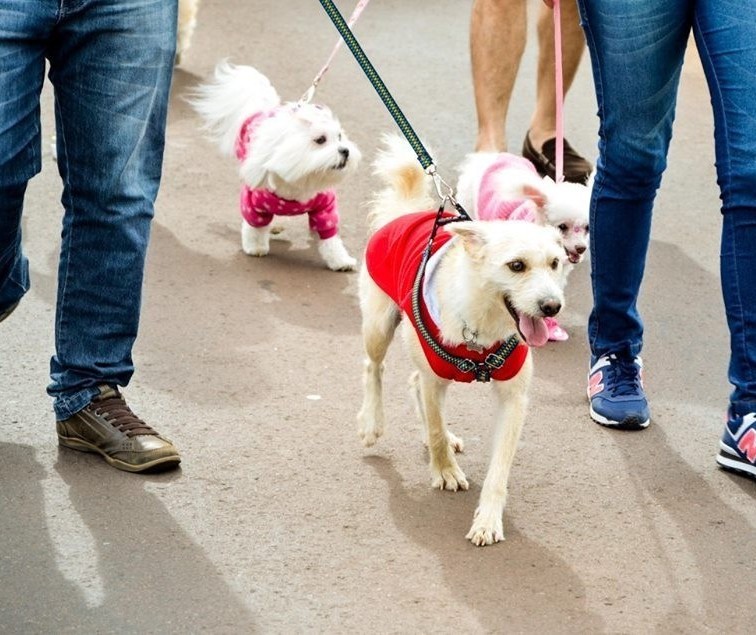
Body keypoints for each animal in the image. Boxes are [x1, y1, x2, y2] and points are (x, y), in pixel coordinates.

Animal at [193, 59, 362, 268]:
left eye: (339, 137)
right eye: (320, 140)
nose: (345, 151)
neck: (299, 182)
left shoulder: (325, 206)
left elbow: (330, 237)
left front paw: (340, 260)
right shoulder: (252, 202)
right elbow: (254, 227)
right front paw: (256, 247)